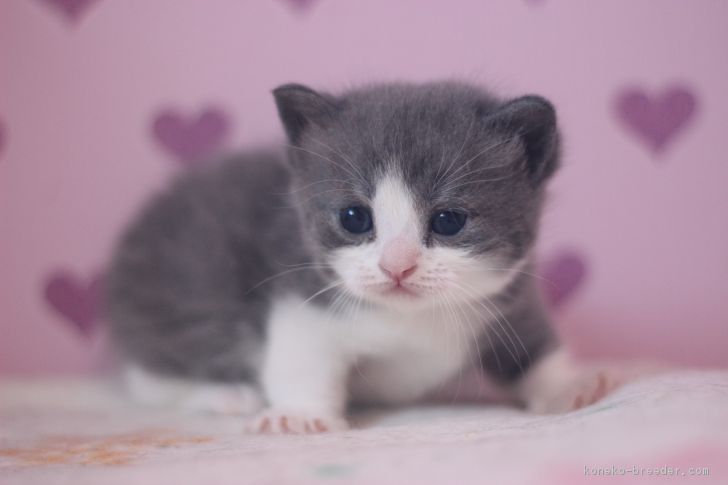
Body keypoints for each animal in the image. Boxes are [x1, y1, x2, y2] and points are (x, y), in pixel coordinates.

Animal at [108, 81, 616, 432]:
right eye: (355, 218)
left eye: (449, 221)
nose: (397, 266)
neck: (411, 319)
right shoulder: (303, 295)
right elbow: (303, 353)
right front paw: (299, 414)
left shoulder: (511, 293)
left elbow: (533, 347)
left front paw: (568, 386)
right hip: (185, 286)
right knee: (145, 375)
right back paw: (226, 394)